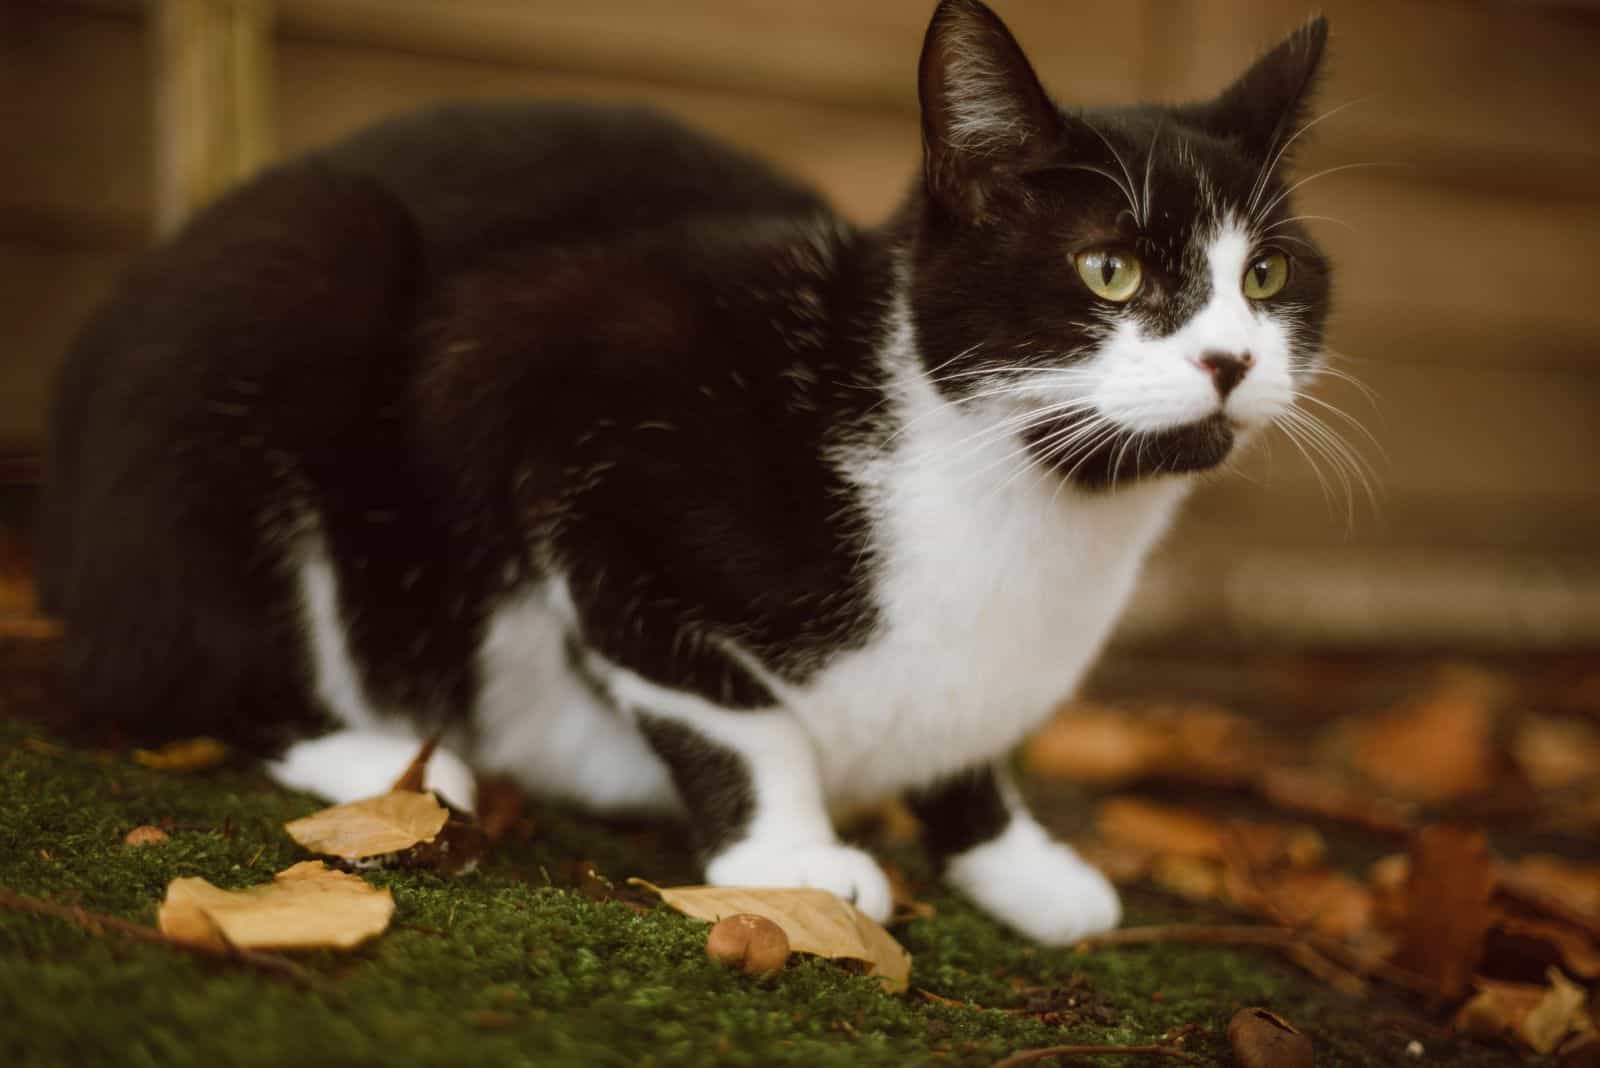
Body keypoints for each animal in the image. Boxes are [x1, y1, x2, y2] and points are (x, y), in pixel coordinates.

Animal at [43, 0, 1331, 940]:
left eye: (1266, 275)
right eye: (1108, 270)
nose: (1228, 359)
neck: (1005, 490)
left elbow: (967, 740)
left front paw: (1013, 860)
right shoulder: (559, 399)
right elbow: (726, 707)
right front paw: (792, 855)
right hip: (289, 281)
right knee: (170, 663)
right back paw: (385, 758)